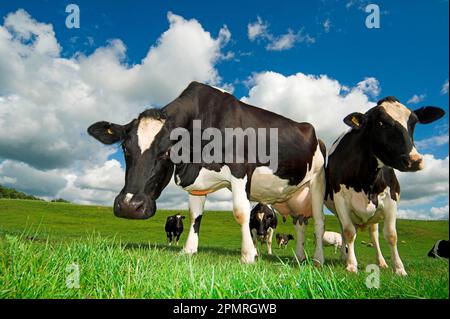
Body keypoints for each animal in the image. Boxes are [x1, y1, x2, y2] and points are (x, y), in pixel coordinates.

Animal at [88, 82, 326, 264]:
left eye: (166, 151)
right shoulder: (196, 183)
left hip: (317, 182)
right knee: (300, 224)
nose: (129, 206)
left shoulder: (240, 171)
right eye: (124, 148)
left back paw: (317, 260)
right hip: (293, 198)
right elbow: (195, 215)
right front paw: (188, 250)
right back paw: (298, 257)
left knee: (319, 223)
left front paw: (249, 255)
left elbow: (241, 212)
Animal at [326, 96, 444, 276]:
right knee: (345, 232)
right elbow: (349, 232)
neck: (366, 179)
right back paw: (344, 258)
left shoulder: (390, 199)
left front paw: (399, 268)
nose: (415, 160)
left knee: (374, 235)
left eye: (413, 123)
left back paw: (381, 262)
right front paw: (351, 265)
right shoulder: (341, 200)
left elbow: (391, 235)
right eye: (380, 123)